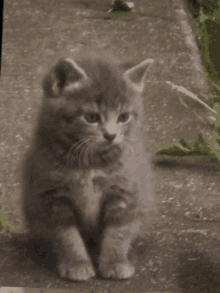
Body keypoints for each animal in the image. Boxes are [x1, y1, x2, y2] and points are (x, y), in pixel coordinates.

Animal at [22, 52, 156, 280]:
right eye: (91, 117)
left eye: (123, 117)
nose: (111, 135)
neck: (91, 163)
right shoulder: (53, 196)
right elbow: (66, 234)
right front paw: (76, 264)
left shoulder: (124, 190)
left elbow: (118, 231)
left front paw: (115, 262)